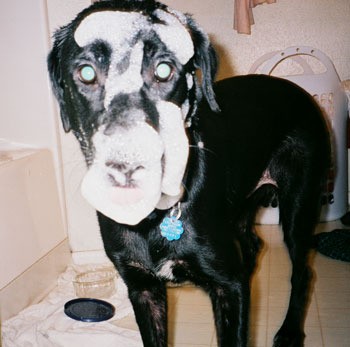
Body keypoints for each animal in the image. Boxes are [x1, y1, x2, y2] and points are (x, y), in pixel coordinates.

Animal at [47, 1, 330, 346]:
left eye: (163, 69)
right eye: (86, 73)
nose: (129, 158)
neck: (153, 219)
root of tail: (299, 90)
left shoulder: (228, 287)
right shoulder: (143, 288)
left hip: (298, 206)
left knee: (302, 272)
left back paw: (289, 332)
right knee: (252, 246)